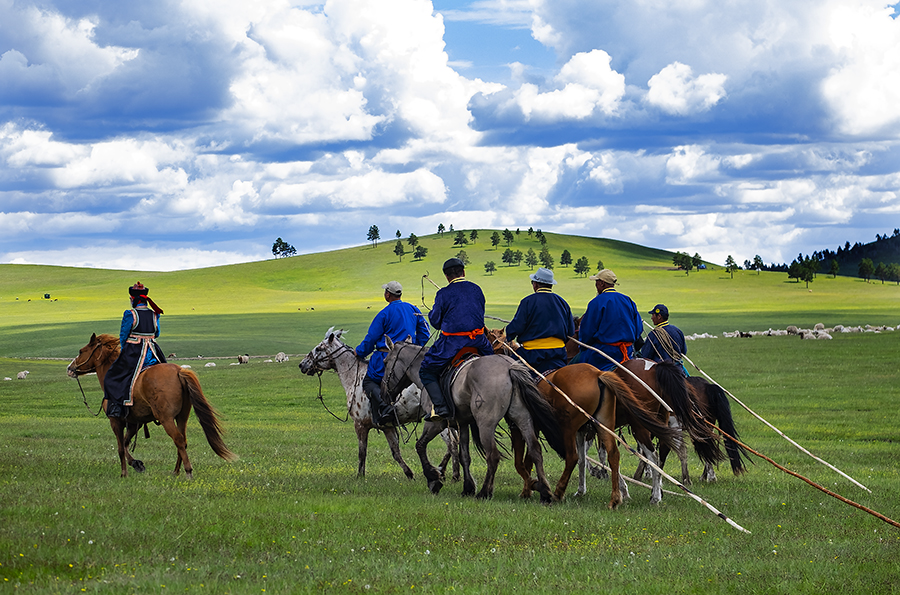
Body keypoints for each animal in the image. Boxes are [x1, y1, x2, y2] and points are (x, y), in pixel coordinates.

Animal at [67, 333, 237, 478]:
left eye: (81, 351)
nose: (70, 368)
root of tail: (179, 371)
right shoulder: (134, 423)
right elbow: (126, 444)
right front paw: (137, 464)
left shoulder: (115, 421)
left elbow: (121, 448)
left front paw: (124, 473)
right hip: (182, 416)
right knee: (183, 440)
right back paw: (176, 471)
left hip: (166, 419)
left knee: (178, 439)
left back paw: (188, 471)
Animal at [298, 328, 459, 481]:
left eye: (318, 348)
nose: (302, 364)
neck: (354, 377)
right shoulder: (387, 427)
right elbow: (395, 452)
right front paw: (409, 474)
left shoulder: (360, 425)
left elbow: (362, 452)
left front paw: (360, 476)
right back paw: (442, 470)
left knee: (452, 443)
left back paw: (450, 474)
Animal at [380, 337, 566, 503]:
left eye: (385, 361)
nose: (384, 392)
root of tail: (509, 367)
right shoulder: (463, 424)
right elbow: (464, 456)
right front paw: (467, 488)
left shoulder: (436, 423)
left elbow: (420, 446)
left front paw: (434, 479)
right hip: (522, 417)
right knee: (535, 449)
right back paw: (545, 493)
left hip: (486, 424)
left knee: (493, 455)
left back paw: (485, 492)